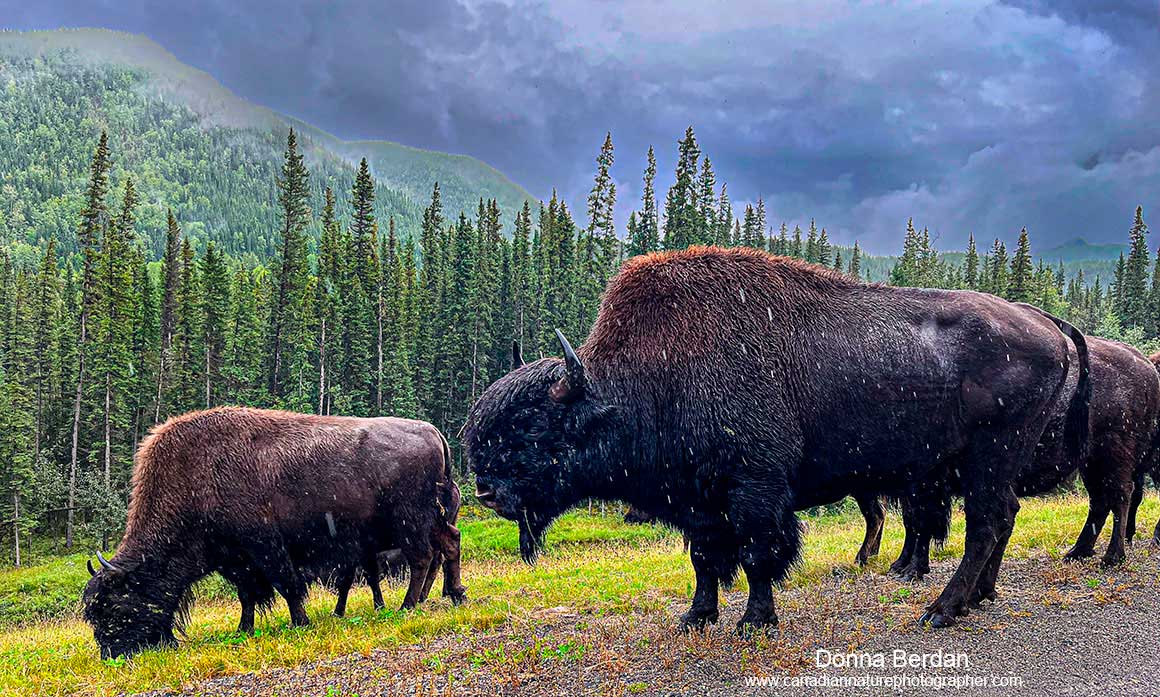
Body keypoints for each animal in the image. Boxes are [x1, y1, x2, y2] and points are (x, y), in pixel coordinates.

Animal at [82, 407, 466, 659]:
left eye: (114, 604)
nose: (112, 654)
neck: (196, 480)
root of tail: (433, 432)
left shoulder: (266, 548)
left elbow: (287, 586)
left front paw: (300, 623)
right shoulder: (236, 561)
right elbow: (247, 596)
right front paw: (244, 629)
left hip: (409, 522)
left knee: (422, 558)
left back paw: (408, 605)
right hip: (430, 521)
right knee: (450, 543)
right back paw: (455, 595)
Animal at [465, 246, 1084, 632]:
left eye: (533, 427)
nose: (486, 491)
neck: (639, 383)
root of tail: (1049, 328)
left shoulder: (755, 488)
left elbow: (759, 553)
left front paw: (754, 621)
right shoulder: (699, 500)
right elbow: (705, 559)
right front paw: (696, 617)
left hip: (989, 457)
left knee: (984, 524)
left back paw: (942, 609)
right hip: (986, 466)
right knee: (1002, 516)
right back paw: (978, 596)